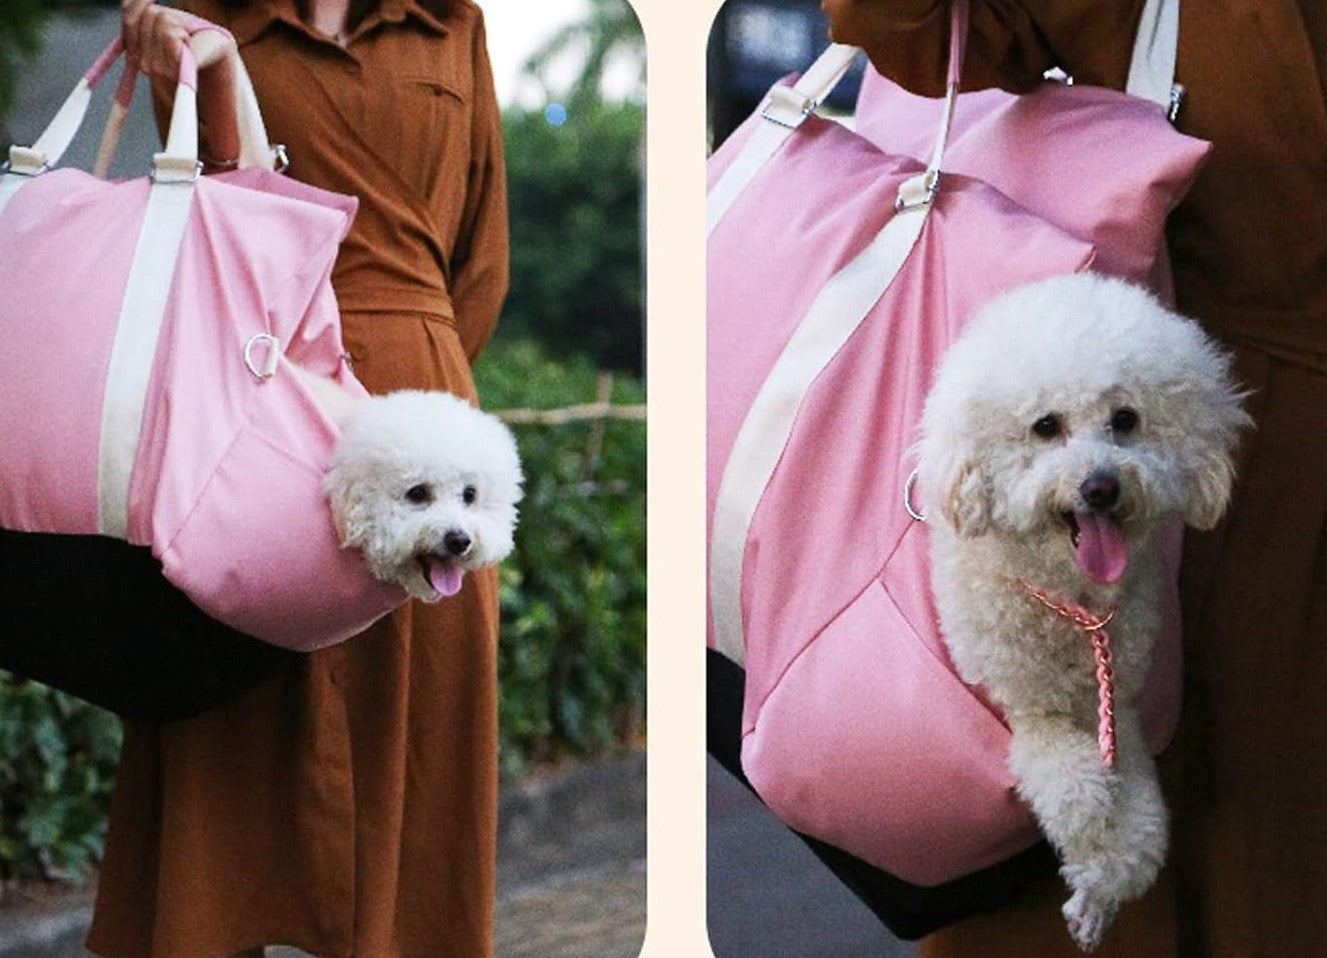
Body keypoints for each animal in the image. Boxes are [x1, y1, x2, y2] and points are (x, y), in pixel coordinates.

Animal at [918, 272, 1247, 944]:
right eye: (1046, 426)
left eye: (1126, 419)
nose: (1101, 486)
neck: (1074, 606)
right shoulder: (1029, 706)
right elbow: (1077, 788)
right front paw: (1094, 845)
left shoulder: (1118, 708)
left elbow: (1141, 821)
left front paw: (1102, 888)